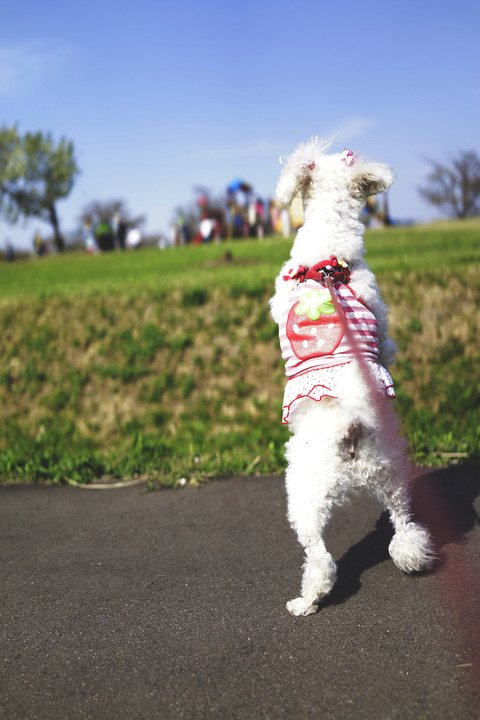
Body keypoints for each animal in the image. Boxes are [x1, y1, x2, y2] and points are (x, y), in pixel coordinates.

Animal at [270, 138, 436, 616]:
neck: (329, 257)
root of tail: (351, 426)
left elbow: (389, 344)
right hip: (391, 474)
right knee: (403, 524)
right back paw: (415, 557)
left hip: (302, 491)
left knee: (319, 557)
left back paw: (304, 602)